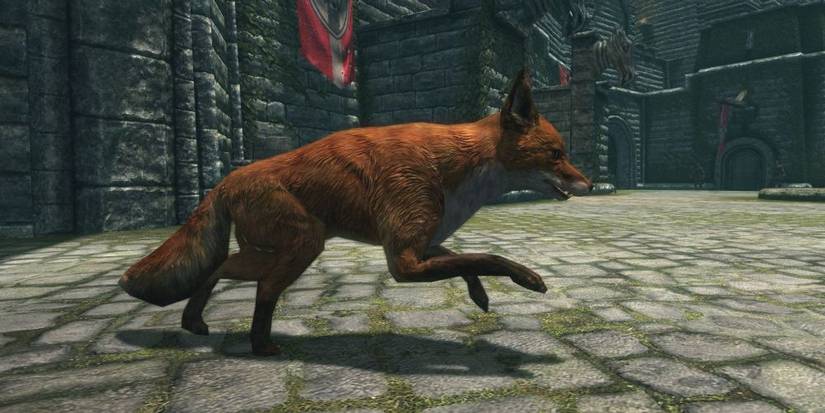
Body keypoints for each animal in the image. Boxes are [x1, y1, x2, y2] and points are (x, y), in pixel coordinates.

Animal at [119, 68, 593, 356]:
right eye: (557, 154)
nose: (589, 185)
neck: (456, 163)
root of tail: (226, 179)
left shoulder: (420, 241)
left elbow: (464, 257)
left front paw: (479, 294)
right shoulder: (404, 260)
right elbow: (486, 257)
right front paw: (527, 279)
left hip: (272, 247)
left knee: (219, 267)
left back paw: (193, 321)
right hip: (303, 243)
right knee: (261, 287)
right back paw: (260, 346)